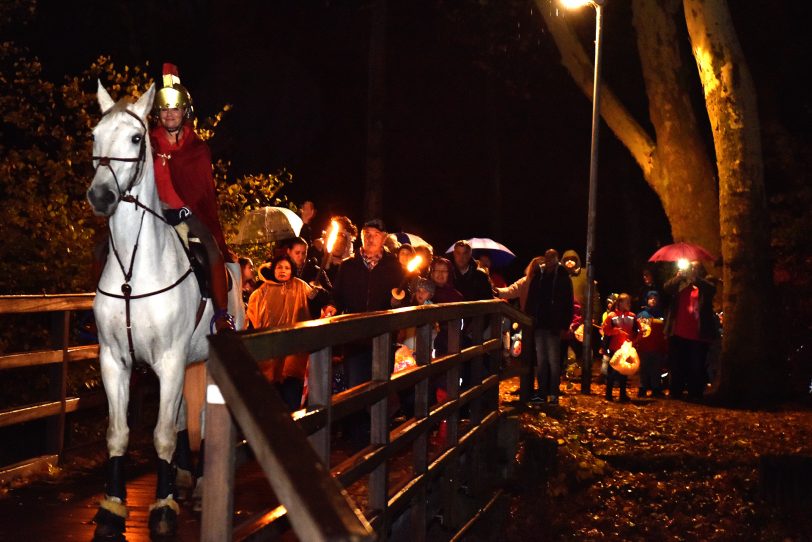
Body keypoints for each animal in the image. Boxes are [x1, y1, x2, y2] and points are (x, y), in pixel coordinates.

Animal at [87, 82, 244, 540]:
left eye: (136, 138)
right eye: (95, 136)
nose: (100, 195)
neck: (133, 272)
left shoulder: (171, 361)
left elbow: (162, 437)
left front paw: (162, 508)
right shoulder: (115, 361)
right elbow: (120, 434)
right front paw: (112, 508)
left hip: (204, 361)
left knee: (200, 421)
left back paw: (201, 483)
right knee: (180, 418)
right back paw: (185, 477)